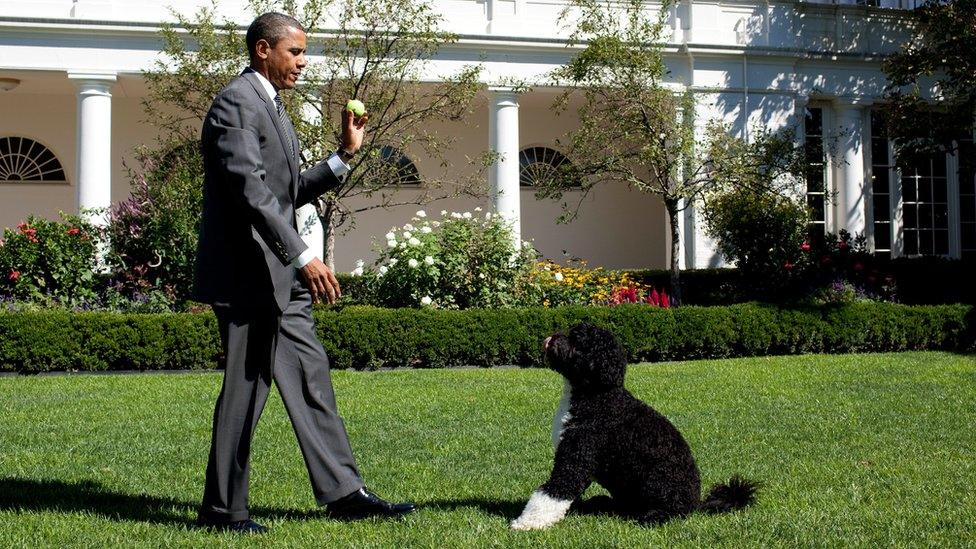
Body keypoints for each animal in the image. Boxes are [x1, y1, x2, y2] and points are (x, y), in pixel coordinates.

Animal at [510, 324, 764, 528]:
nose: (552, 338)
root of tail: (696, 503)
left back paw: (651, 517)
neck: (598, 396)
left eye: (577, 340)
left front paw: (526, 523)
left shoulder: (576, 458)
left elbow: (553, 492)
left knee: (674, 513)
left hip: (658, 484)